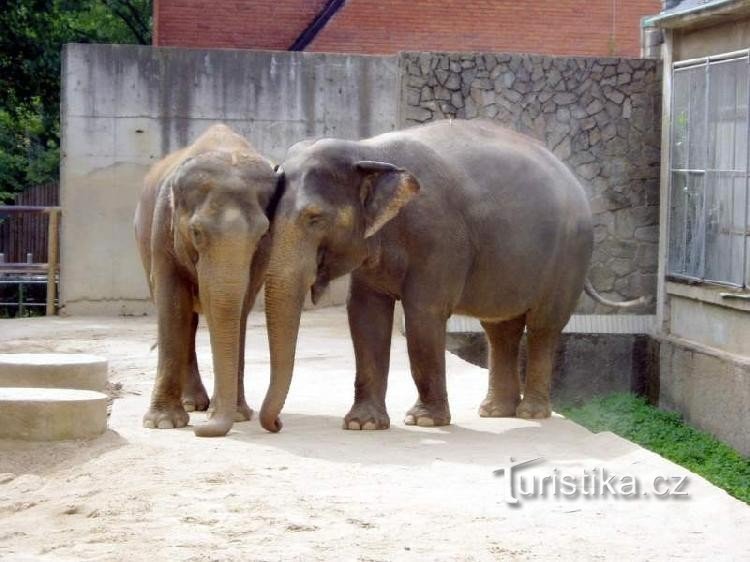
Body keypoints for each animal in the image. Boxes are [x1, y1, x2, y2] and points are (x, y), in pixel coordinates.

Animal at [134, 123, 280, 438]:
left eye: (262, 233)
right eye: (196, 232)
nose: (202, 431)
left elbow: (241, 305)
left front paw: (237, 415)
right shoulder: (163, 227)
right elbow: (172, 301)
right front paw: (163, 423)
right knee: (184, 316)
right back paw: (192, 405)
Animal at [260, 118, 648, 430]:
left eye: (314, 218)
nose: (278, 424)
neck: (367, 149)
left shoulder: (439, 238)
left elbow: (423, 316)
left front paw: (423, 422)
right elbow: (365, 315)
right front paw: (363, 425)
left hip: (568, 256)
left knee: (543, 326)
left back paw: (530, 414)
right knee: (500, 329)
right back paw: (495, 412)